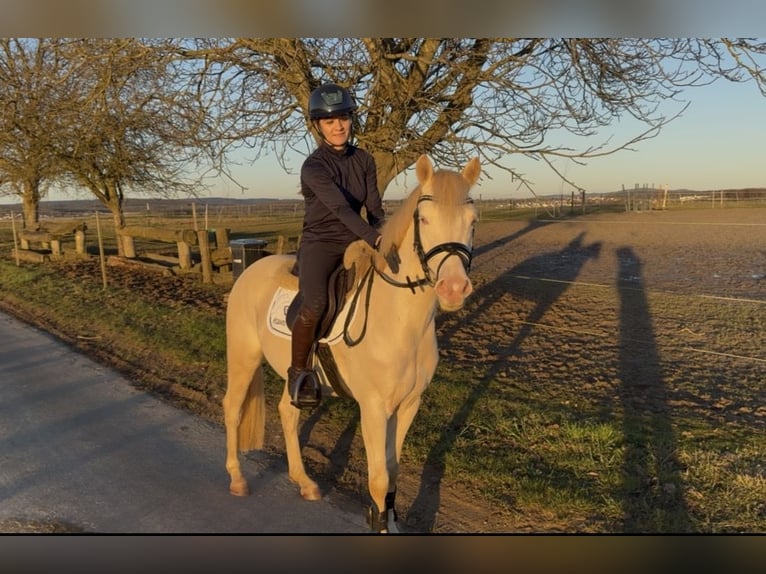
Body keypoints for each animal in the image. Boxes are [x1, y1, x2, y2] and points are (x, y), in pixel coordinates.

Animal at [222, 154, 480, 532]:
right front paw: (380, 524)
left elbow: (393, 470)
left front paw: (388, 520)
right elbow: (379, 478)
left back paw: (304, 482)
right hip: (244, 358)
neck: (400, 323)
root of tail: (250, 271)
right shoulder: (373, 408)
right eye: (424, 218)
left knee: (287, 412)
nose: (453, 289)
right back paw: (238, 479)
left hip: (293, 373)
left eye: (472, 221)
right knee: (232, 407)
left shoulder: (409, 405)